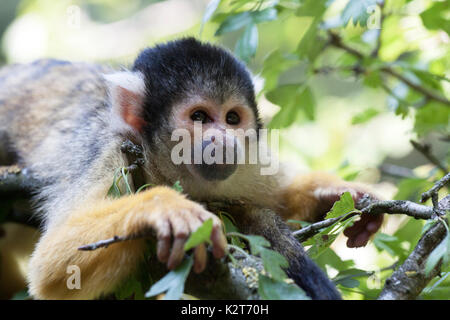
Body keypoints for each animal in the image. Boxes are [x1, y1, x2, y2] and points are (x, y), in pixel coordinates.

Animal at [0, 38, 384, 300]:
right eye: (199, 116)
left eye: (232, 119)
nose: (223, 139)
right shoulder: (111, 155)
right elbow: (52, 270)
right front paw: (164, 207)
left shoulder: (246, 163)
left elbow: (279, 196)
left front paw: (335, 193)